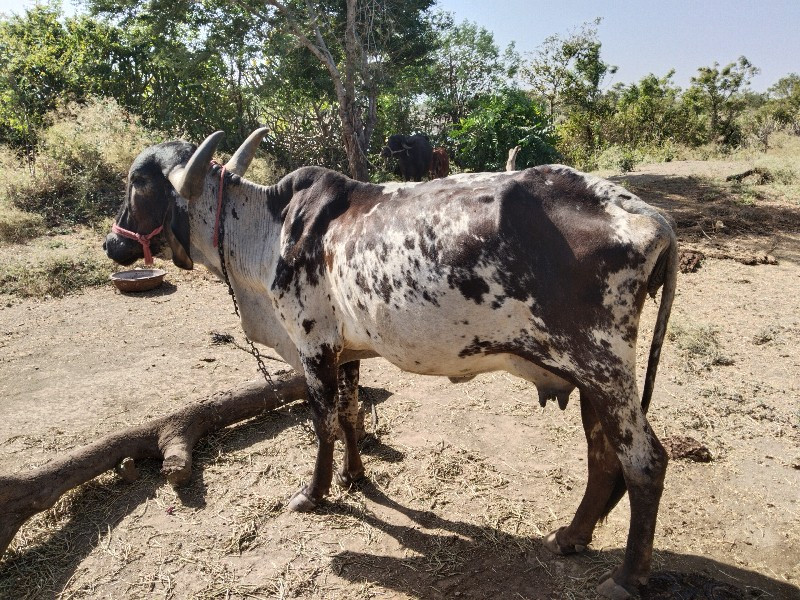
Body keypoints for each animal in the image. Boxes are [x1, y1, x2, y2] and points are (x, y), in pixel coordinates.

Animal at [104, 129, 680, 596]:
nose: (112, 243)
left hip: (605, 368)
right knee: (603, 458)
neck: (269, 230)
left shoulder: (313, 347)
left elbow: (325, 423)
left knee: (645, 461)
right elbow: (352, 415)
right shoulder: (345, 352)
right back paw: (572, 537)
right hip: (588, 379)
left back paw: (627, 577)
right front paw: (355, 477)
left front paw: (314, 493)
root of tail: (645, 212)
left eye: (136, 183)